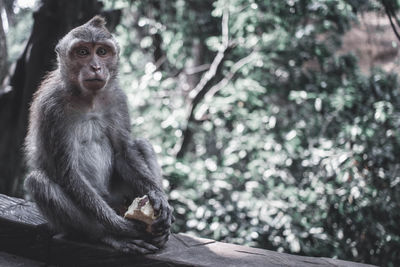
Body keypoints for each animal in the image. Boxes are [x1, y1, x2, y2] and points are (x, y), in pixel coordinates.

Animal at [23, 15, 173, 254]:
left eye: (102, 52)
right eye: (83, 52)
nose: (95, 67)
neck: (88, 99)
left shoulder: (118, 98)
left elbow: (123, 151)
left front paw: (158, 197)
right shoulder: (51, 107)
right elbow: (67, 172)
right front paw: (121, 227)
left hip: (118, 195)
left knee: (142, 144)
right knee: (38, 182)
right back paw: (109, 236)